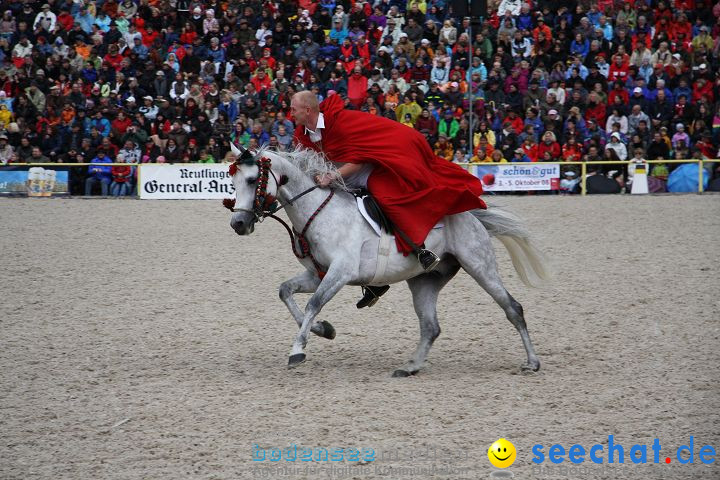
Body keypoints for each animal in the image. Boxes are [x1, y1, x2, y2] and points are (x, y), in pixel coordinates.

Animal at [228, 148, 548, 376]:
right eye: (232, 181)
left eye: (252, 180)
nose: (238, 224)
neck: (318, 212)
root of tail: (470, 213)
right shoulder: (317, 275)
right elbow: (286, 292)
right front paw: (323, 330)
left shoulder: (340, 273)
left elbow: (313, 304)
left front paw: (298, 349)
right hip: (424, 281)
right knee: (431, 327)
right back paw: (410, 367)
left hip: (480, 266)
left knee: (513, 308)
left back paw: (532, 362)